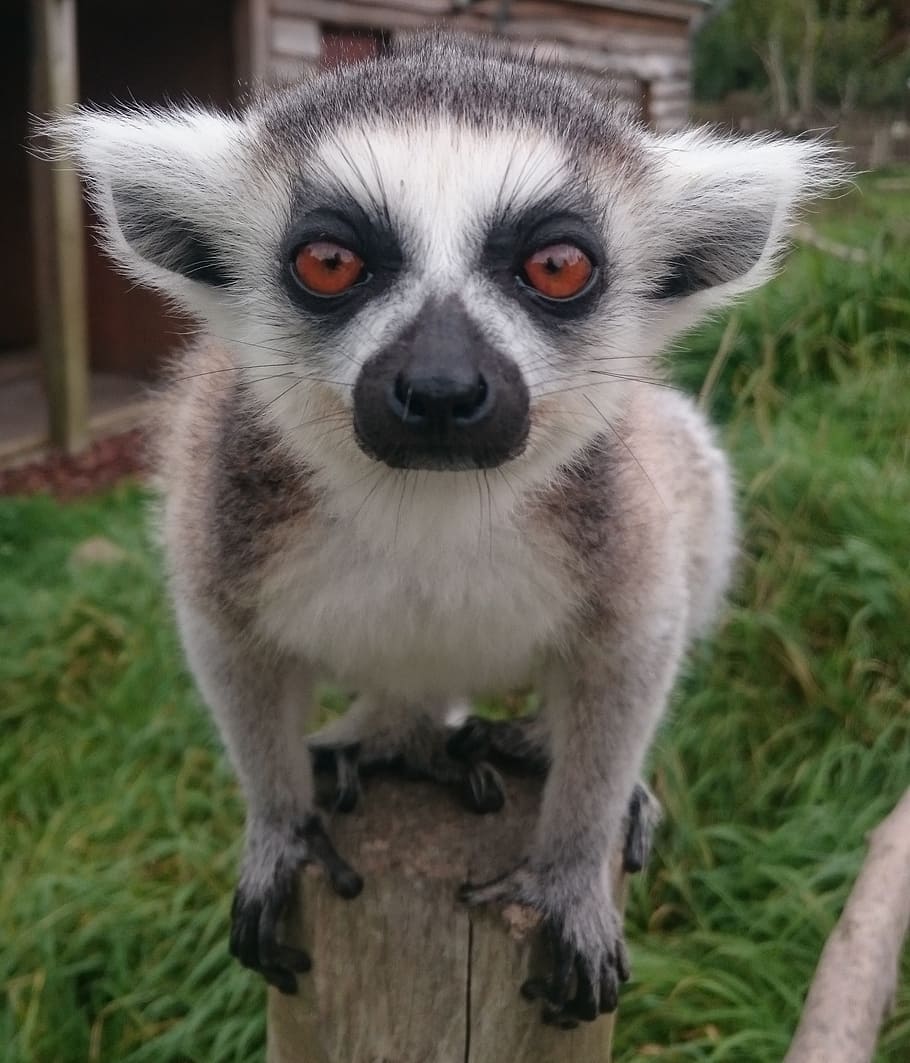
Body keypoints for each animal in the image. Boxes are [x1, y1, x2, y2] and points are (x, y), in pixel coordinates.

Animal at [48, 32, 844, 1027]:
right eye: (330, 262)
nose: (439, 388)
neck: (429, 505)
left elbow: (637, 640)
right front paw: (279, 830)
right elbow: (230, 642)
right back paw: (398, 734)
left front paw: (570, 873)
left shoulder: (612, 515)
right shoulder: (226, 490)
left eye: (555, 267)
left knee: (690, 468)